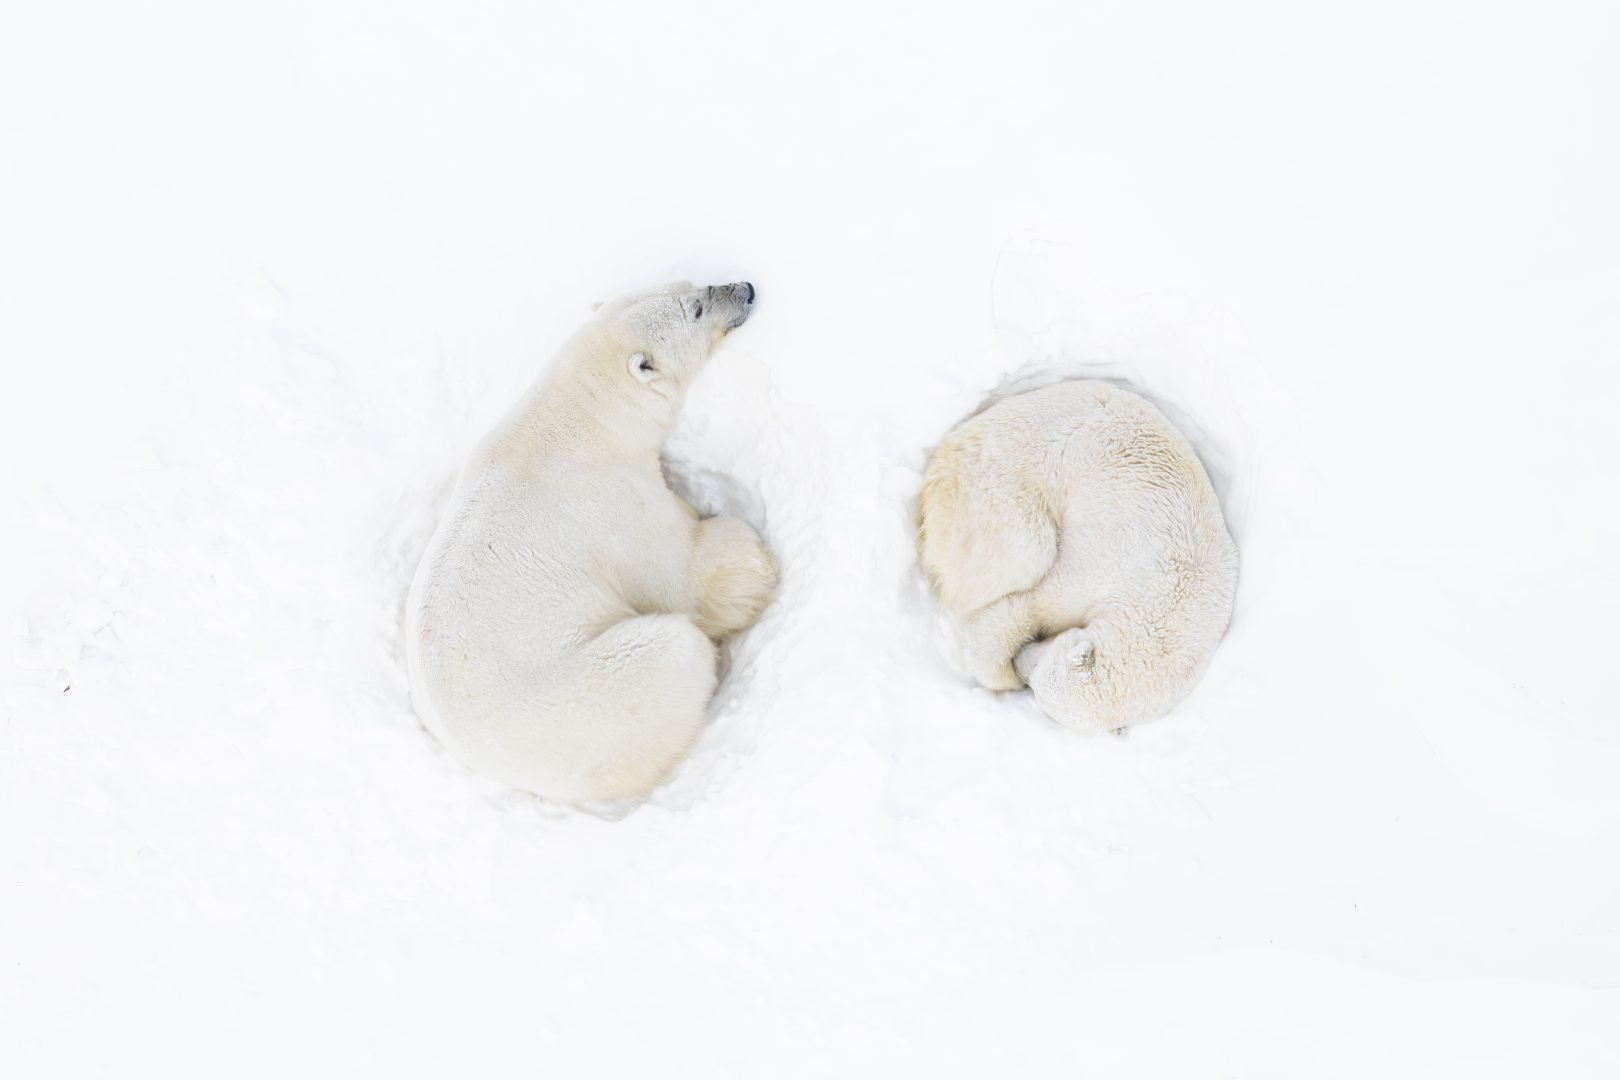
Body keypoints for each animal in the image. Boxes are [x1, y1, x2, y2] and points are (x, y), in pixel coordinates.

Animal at [411, 278, 777, 803]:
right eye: (696, 307)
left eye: (694, 285)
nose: (744, 288)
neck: (580, 417)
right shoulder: (612, 505)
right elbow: (684, 574)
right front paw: (755, 564)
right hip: (598, 694)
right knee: (673, 650)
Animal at [920, 380, 1231, 735]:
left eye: (1037, 683)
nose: (1018, 662)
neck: (1171, 597)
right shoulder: (1114, 562)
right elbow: (1036, 603)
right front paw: (999, 674)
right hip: (997, 483)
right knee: (1025, 552)